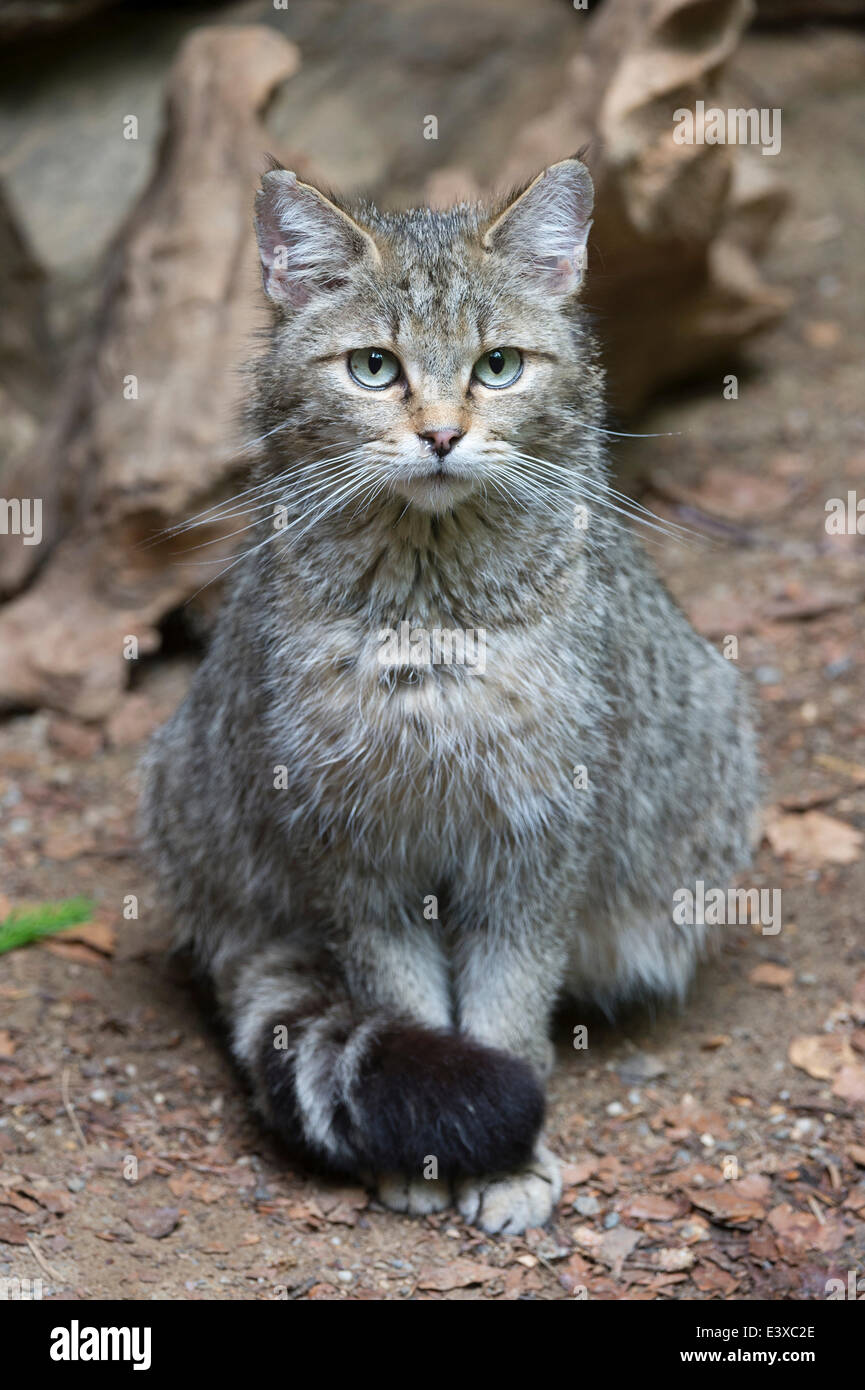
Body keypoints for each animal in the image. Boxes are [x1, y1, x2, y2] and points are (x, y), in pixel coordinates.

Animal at [142, 154, 756, 1239]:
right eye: (373, 368)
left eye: (498, 366)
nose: (438, 433)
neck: (429, 611)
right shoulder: (352, 845)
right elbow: (406, 1003)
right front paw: (433, 1152)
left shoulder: (538, 834)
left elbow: (509, 1008)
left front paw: (504, 1156)